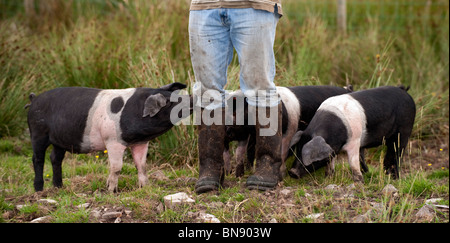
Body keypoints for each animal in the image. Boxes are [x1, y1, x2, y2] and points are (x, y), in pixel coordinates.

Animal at [27, 82, 191, 193]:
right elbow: (116, 167)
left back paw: (59, 187)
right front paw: (111, 191)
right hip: (37, 132)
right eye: (169, 102)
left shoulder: (141, 142)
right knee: (37, 159)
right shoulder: (112, 140)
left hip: (59, 140)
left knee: (55, 158)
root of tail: (34, 100)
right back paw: (39, 190)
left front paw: (145, 188)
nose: (192, 98)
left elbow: (142, 165)